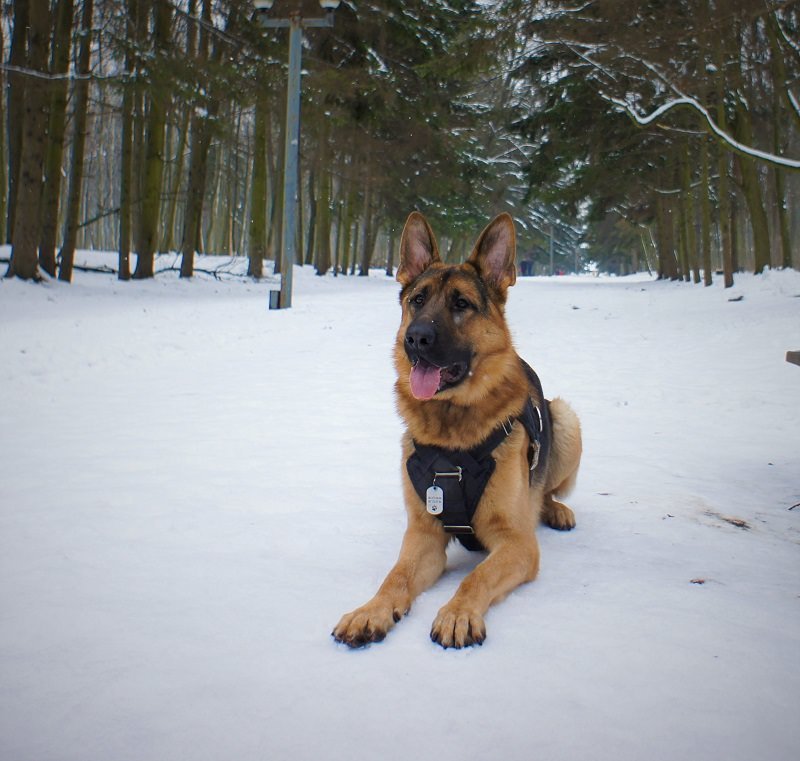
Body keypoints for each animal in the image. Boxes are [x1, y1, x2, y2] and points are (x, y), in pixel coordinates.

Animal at [332, 212, 582, 649]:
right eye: (417, 300)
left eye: (461, 304)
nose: (416, 338)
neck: (452, 435)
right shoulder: (424, 538)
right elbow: (394, 577)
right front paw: (370, 611)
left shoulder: (517, 544)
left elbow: (475, 576)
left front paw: (457, 613)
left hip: (567, 420)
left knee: (547, 490)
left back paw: (554, 509)